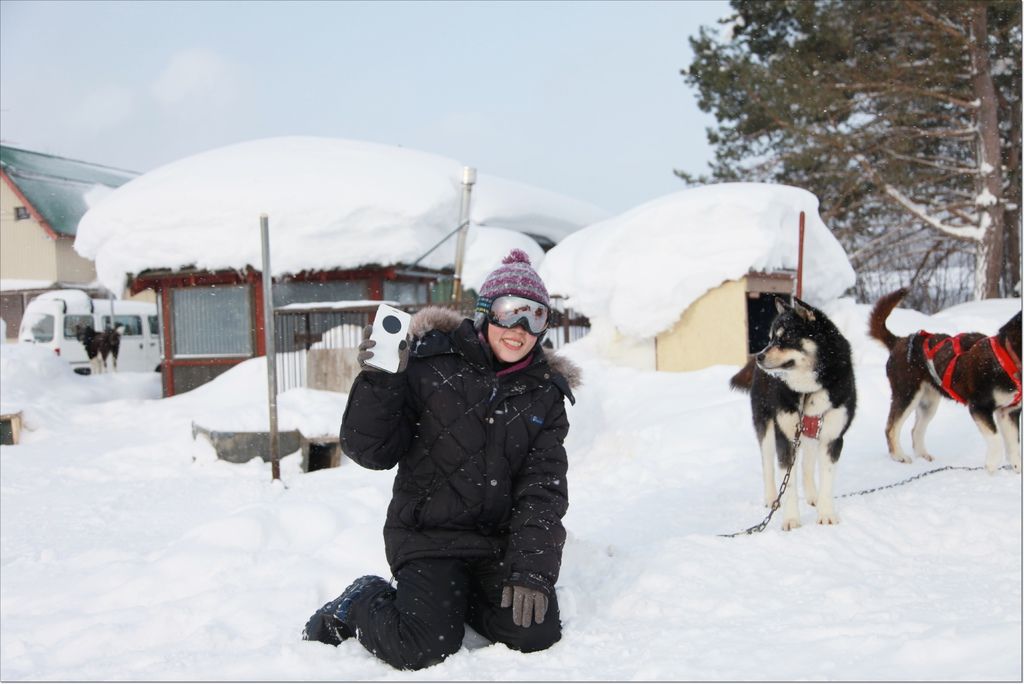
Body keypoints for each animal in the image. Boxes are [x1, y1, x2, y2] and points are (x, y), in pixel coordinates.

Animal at [729, 296, 856, 528]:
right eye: (771, 338)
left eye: (786, 337)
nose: (759, 356)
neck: (808, 390)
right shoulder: (785, 437)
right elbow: (787, 484)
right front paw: (791, 519)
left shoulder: (832, 437)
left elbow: (827, 480)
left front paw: (826, 513)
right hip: (767, 427)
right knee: (768, 464)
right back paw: (772, 498)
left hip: (810, 434)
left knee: (806, 465)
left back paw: (812, 495)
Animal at [868, 286, 1019, 471]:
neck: (1006, 358)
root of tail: (899, 341)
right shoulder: (979, 407)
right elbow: (996, 440)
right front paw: (992, 467)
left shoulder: (1009, 411)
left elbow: (1014, 447)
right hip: (907, 395)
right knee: (891, 428)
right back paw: (899, 456)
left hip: (928, 403)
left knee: (915, 430)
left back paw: (922, 455)